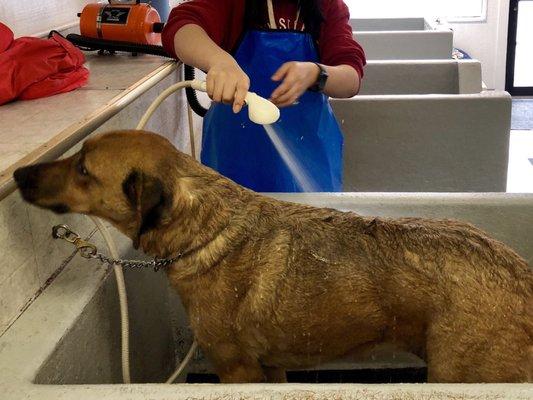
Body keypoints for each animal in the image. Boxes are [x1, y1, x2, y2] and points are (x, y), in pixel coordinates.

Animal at [13, 130, 532, 382]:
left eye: (83, 169)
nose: (18, 174)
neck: (206, 229)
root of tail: (521, 273)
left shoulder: (235, 368)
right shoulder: (268, 366)